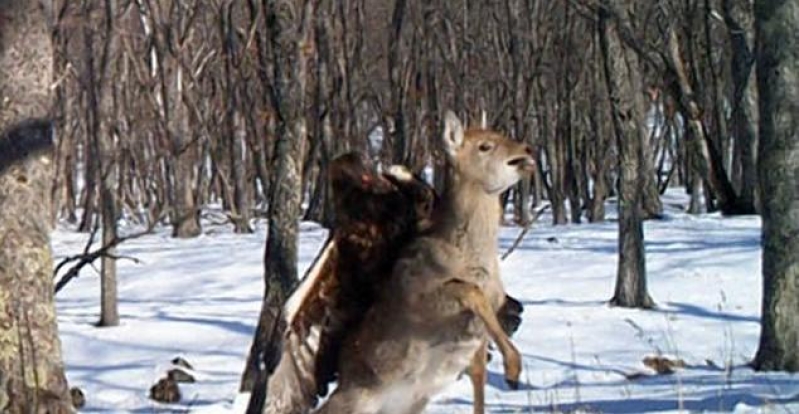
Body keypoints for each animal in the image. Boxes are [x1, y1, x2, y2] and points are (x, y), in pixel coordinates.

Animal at [314, 111, 536, 414]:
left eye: (501, 134)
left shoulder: (485, 317)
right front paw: (513, 369)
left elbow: (479, 372)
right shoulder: (421, 297)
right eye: (485, 146)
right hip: (356, 399)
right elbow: (468, 290)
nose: (528, 150)